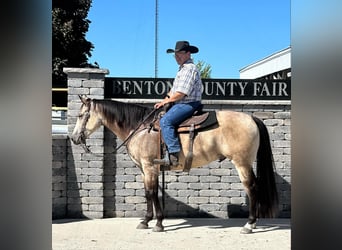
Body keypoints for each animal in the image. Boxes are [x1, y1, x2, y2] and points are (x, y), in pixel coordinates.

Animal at [70, 95, 278, 234]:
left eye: (81, 115)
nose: (73, 138)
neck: (140, 128)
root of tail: (251, 118)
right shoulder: (145, 170)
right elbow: (149, 193)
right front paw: (148, 221)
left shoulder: (150, 167)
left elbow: (152, 193)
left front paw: (156, 223)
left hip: (242, 163)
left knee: (252, 188)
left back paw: (249, 224)